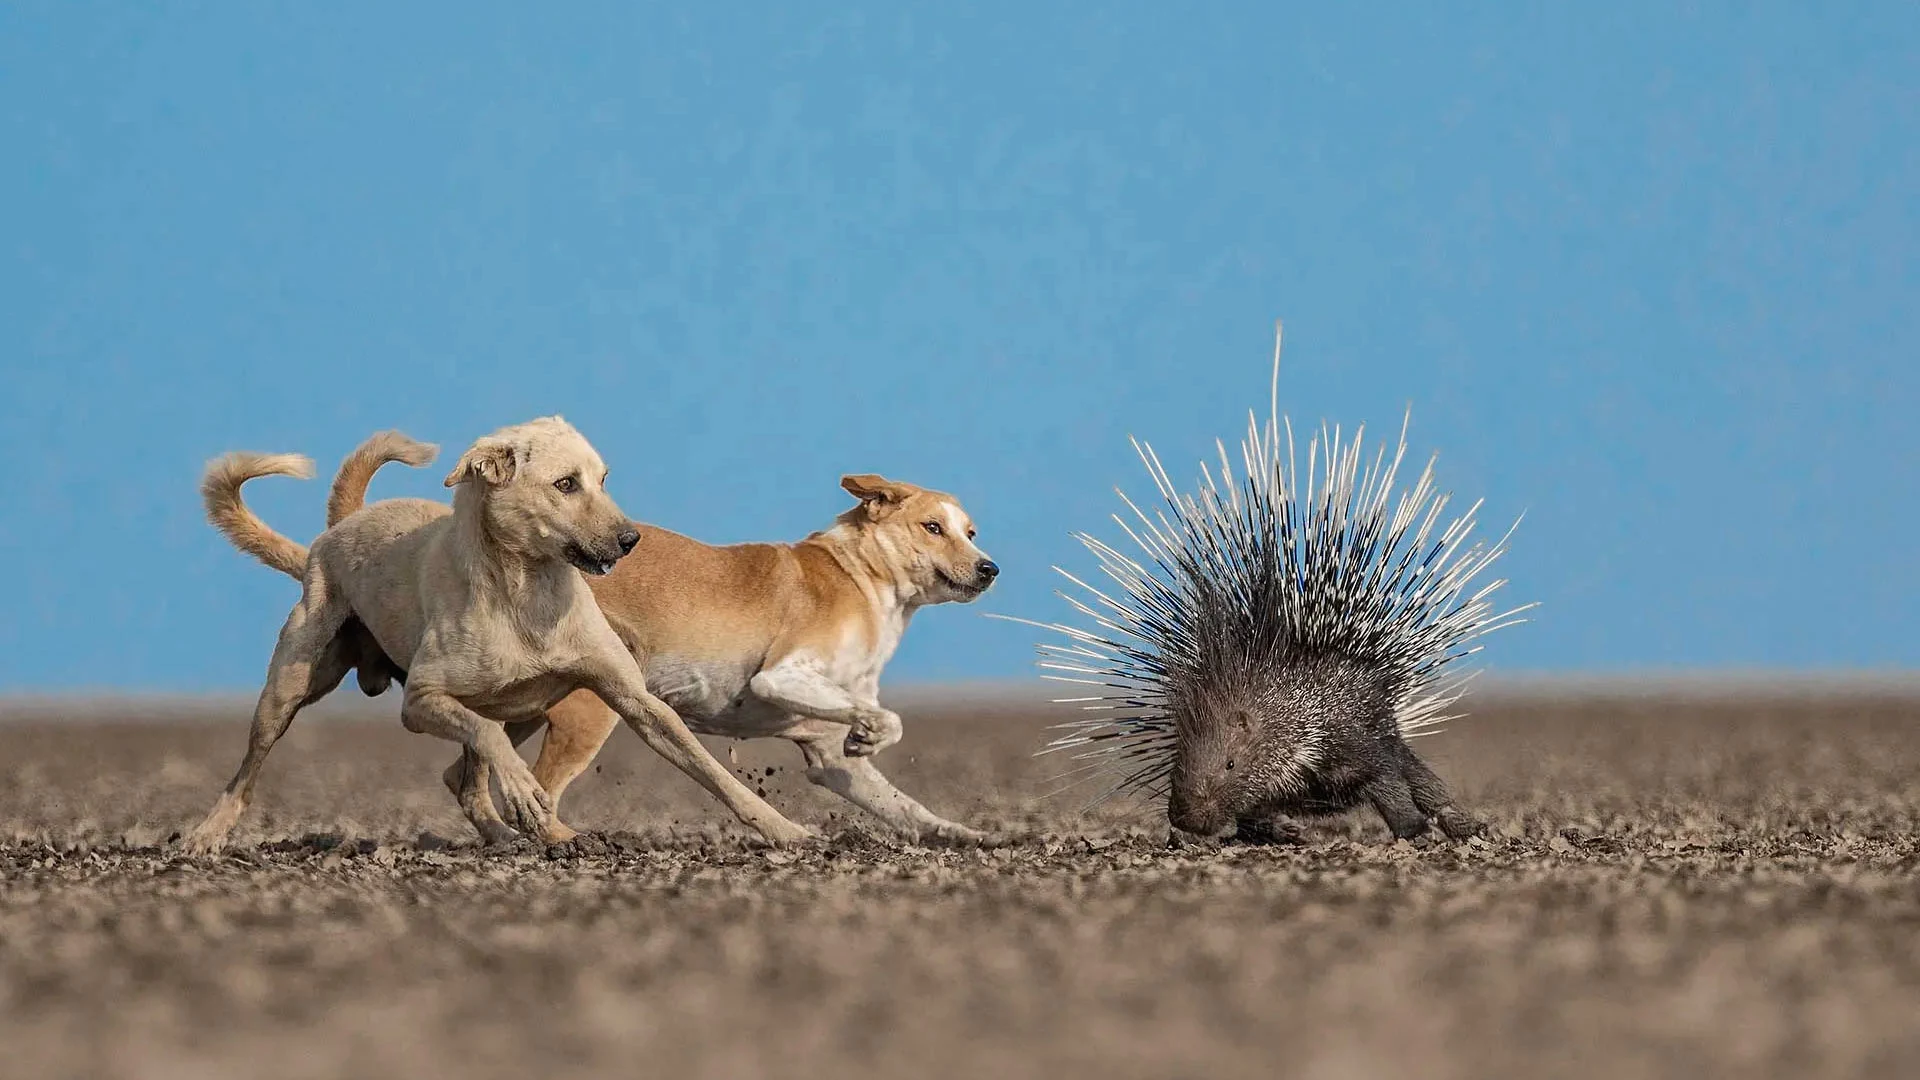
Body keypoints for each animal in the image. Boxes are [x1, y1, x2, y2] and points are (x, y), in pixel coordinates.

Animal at [183, 413, 806, 849]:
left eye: (603, 478)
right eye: (565, 484)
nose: (631, 540)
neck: (528, 595)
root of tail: (341, 527)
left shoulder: (632, 697)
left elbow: (708, 768)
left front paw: (784, 829)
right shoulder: (422, 701)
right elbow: (488, 739)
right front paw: (524, 793)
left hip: (525, 705)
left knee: (465, 778)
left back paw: (524, 836)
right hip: (290, 685)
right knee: (249, 768)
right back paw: (205, 835)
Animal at [330, 453, 998, 841]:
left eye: (969, 531)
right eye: (932, 528)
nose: (990, 568)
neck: (864, 577)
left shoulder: (831, 757)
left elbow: (904, 803)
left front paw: (964, 835)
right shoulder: (781, 676)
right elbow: (887, 715)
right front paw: (873, 730)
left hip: (522, 705)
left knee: (463, 771)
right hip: (588, 713)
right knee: (538, 790)